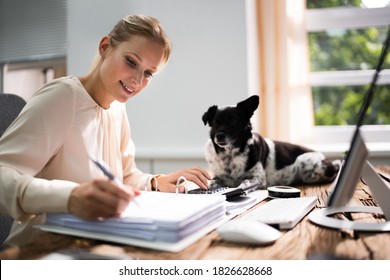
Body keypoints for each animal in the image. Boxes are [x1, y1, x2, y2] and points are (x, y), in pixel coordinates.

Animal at [203, 95, 340, 189]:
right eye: (214, 123)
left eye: (233, 123)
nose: (219, 136)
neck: (229, 156)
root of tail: (326, 158)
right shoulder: (218, 176)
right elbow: (213, 182)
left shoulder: (259, 178)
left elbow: (245, 182)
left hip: (305, 163)